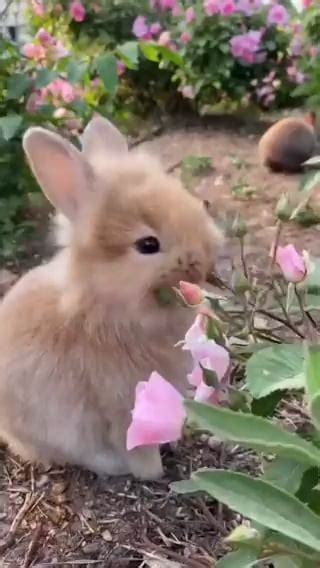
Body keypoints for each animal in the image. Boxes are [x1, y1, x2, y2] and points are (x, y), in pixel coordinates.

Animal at [0, 114, 222, 480]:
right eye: (148, 245)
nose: (202, 261)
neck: (104, 304)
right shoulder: (124, 402)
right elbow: (137, 445)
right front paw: (153, 472)